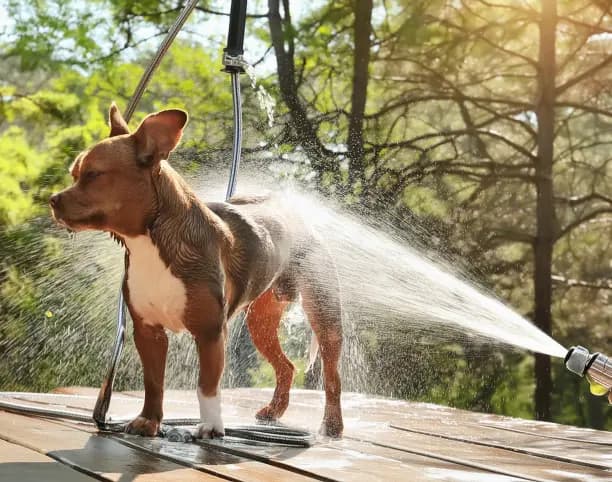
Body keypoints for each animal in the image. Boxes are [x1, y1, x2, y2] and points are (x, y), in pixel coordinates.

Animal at [48, 103, 344, 438]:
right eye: (74, 174)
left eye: (93, 174)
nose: (53, 200)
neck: (151, 241)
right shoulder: (148, 332)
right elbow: (154, 382)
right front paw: (149, 420)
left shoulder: (210, 332)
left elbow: (206, 386)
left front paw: (211, 426)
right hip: (261, 323)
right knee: (287, 366)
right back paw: (274, 411)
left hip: (324, 316)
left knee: (332, 375)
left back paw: (332, 424)